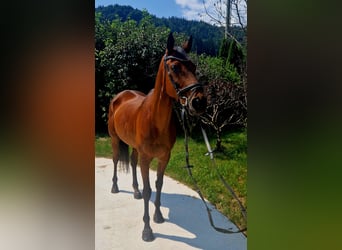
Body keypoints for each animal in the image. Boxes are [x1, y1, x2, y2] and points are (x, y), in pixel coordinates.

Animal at [108, 32, 207, 241]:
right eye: (175, 67)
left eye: (194, 66)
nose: (199, 102)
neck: (154, 119)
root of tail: (120, 95)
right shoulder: (147, 159)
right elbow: (148, 191)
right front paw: (147, 230)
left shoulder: (164, 157)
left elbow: (158, 184)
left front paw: (158, 216)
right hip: (114, 139)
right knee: (115, 159)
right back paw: (115, 187)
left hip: (135, 147)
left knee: (132, 161)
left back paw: (135, 190)